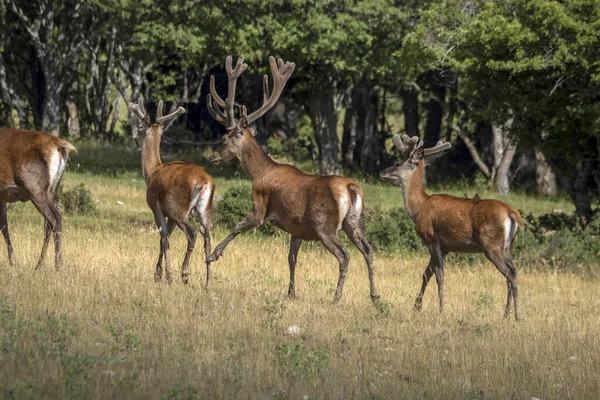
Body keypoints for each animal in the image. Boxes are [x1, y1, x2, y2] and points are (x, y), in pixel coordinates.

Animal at [0, 130, 76, 270]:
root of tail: (60, 145)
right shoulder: (2, 197)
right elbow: (4, 226)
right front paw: (13, 261)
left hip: (35, 189)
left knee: (55, 217)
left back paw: (58, 265)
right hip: (52, 190)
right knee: (48, 225)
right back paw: (39, 265)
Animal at [127, 100, 214, 288]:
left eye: (140, 129)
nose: (135, 139)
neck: (152, 172)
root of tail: (204, 181)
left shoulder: (157, 207)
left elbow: (164, 238)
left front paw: (165, 275)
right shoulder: (170, 216)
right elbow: (163, 240)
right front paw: (158, 274)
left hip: (179, 208)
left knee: (192, 234)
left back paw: (184, 274)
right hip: (205, 210)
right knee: (207, 238)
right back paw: (207, 282)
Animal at [202, 54, 380, 304]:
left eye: (225, 138)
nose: (212, 156)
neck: (259, 172)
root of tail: (350, 188)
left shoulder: (260, 206)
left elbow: (238, 226)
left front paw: (212, 255)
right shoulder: (297, 228)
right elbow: (292, 258)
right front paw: (291, 292)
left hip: (325, 225)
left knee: (345, 256)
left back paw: (336, 298)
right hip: (354, 221)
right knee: (368, 250)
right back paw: (374, 296)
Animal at [382, 136, 524, 320]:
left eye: (398, 163)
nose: (382, 172)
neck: (419, 208)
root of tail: (512, 213)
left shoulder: (432, 239)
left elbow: (439, 275)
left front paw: (441, 309)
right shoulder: (446, 247)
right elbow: (426, 274)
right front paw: (416, 307)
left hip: (492, 245)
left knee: (510, 273)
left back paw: (517, 316)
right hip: (509, 247)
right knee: (511, 273)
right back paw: (506, 315)